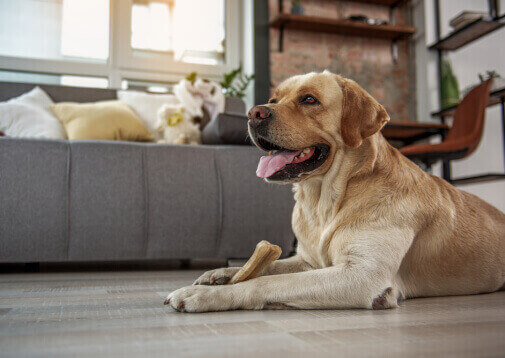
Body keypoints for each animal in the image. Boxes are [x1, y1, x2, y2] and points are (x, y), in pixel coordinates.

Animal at [165, 71, 504, 312]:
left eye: (309, 99)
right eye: (274, 99)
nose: (253, 113)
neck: (324, 201)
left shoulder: (361, 276)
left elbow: (268, 283)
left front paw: (205, 294)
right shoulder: (308, 260)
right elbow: (269, 266)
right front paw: (221, 273)